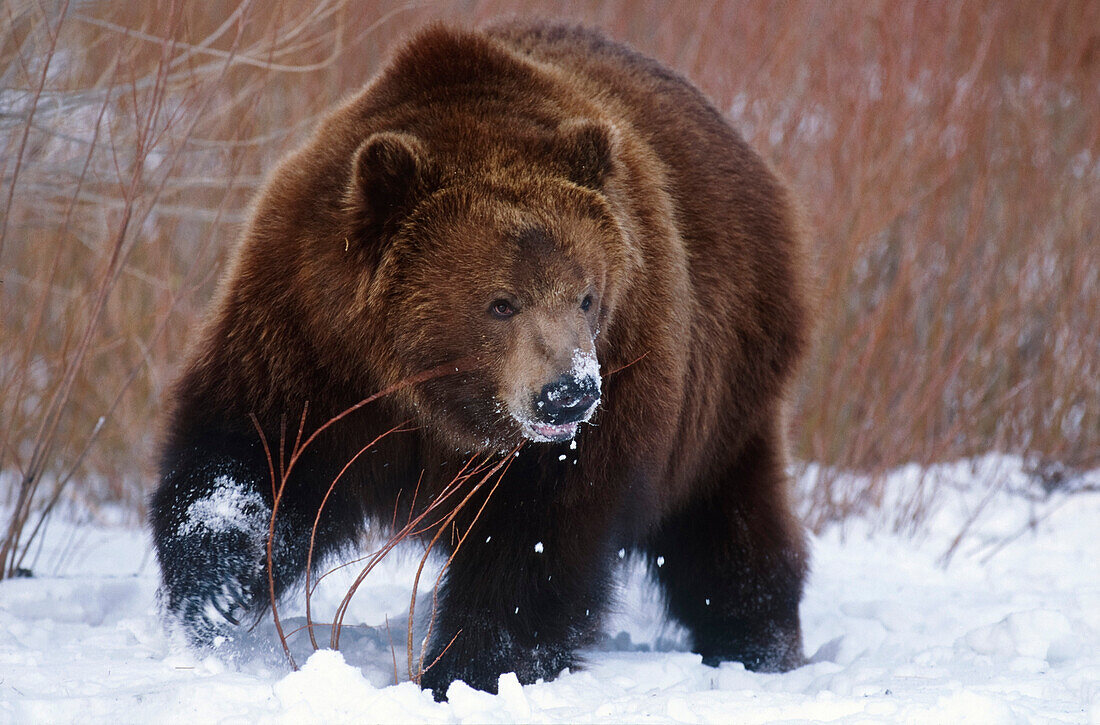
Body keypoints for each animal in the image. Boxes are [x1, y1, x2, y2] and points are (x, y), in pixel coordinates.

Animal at [150, 21, 814, 699]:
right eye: (501, 303)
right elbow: (252, 459)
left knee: (726, 534)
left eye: (586, 295)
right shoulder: (311, 345)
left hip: (722, 391)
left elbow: (534, 549)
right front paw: (215, 597)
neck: (434, 397)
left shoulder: (608, 395)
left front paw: (467, 671)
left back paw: (755, 645)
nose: (569, 393)